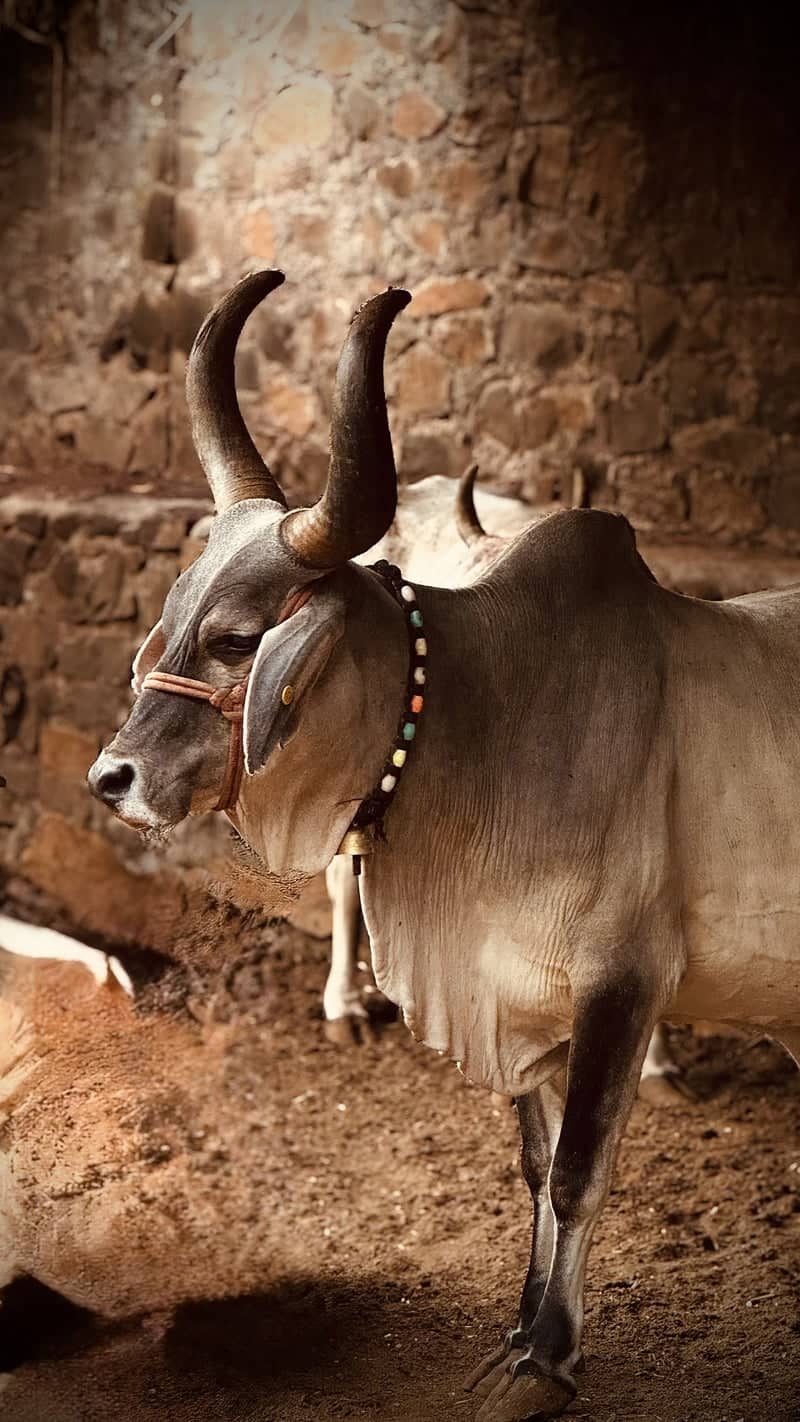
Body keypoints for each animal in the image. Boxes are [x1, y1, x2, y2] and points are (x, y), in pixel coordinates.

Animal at [88, 272, 800, 1422]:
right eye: (173, 613)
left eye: (239, 639)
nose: (112, 779)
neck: (489, 716)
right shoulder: (505, 983)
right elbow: (534, 1164)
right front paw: (520, 1331)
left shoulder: (621, 978)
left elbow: (576, 1169)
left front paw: (544, 1358)